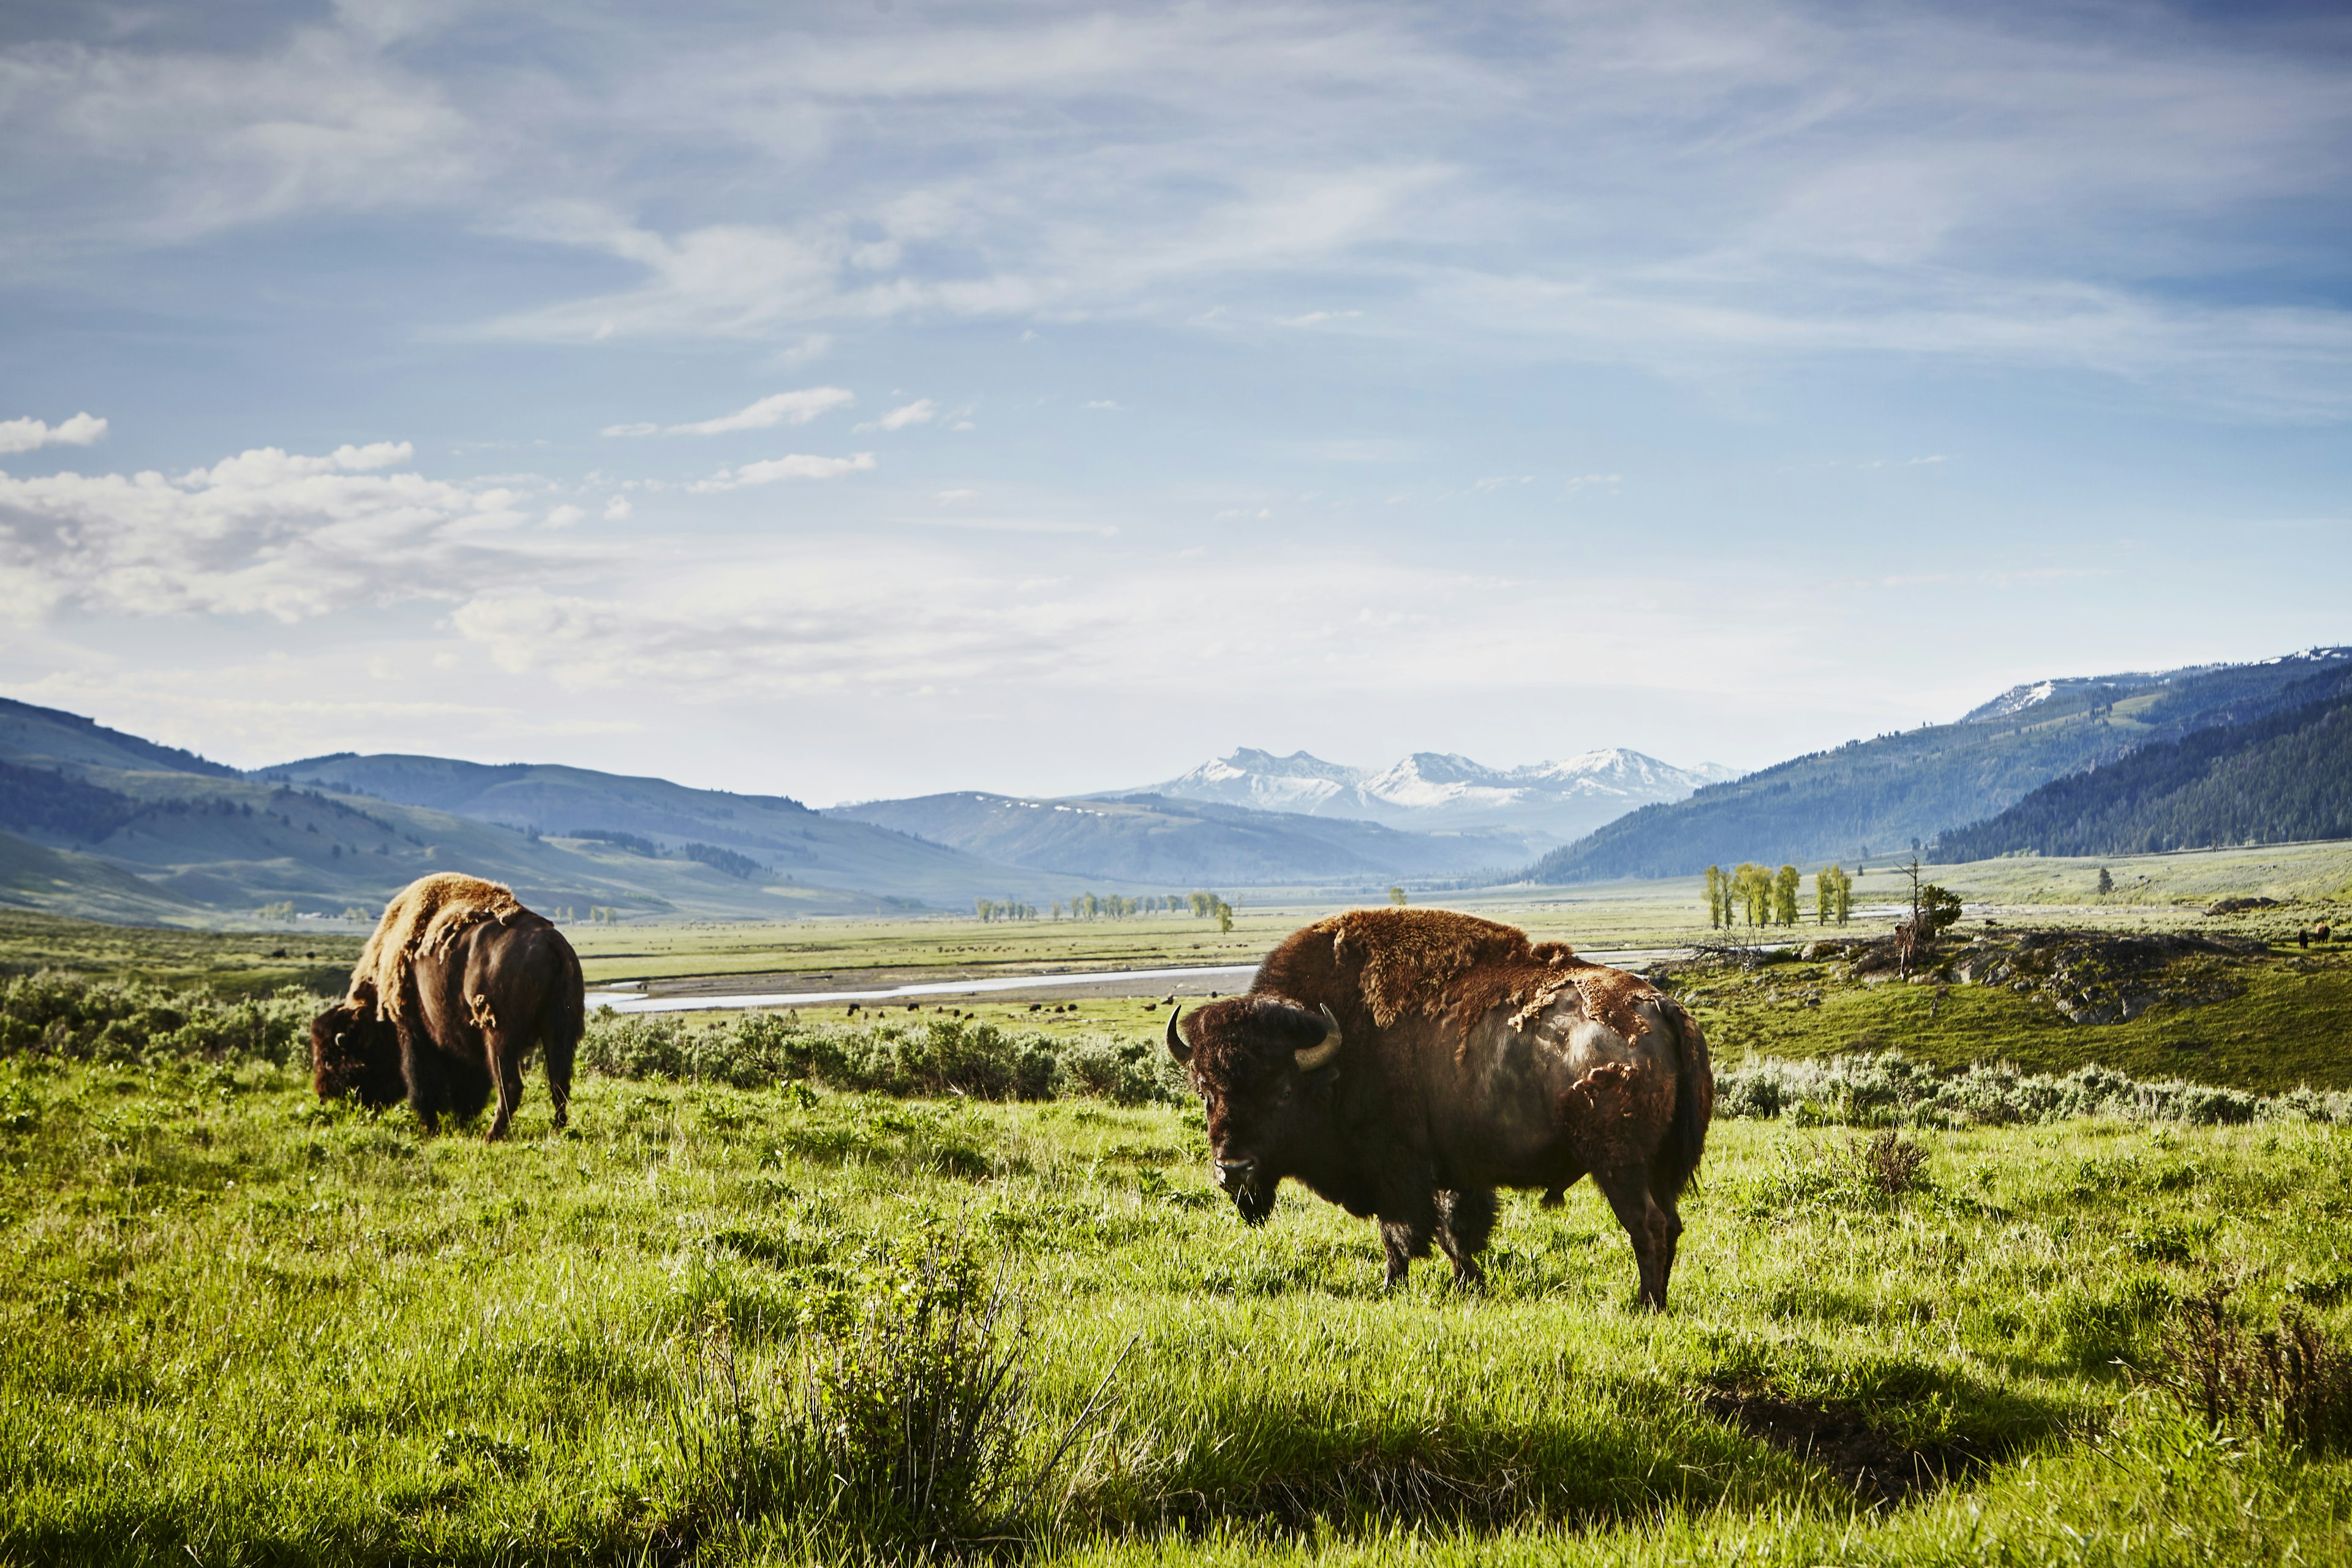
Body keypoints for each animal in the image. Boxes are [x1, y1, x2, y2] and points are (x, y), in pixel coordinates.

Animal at [310, 870, 586, 1142]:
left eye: (328, 1058)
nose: (324, 1096)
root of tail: (552, 945)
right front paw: (461, 1119)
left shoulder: (413, 1034)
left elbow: (423, 1086)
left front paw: (431, 1127)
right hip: (558, 1032)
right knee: (559, 1081)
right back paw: (558, 1129)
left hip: (499, 1037)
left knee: (510, 1086)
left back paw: (491, 1135)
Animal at [1171, 907, 1712, 1316]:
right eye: (1205, 1092)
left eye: (1282, 1090)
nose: (1233, 1169)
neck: (1336, 1050)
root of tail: (1660, 1006)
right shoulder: (1452, 1171)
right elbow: (1456, 1234)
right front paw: (1469, 1285)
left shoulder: (1396, 1170)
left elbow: (1402, 1235)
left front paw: (1391, 1288)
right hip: (1658, 1167)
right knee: (1671, 1223)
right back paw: (1658, 1301)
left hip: (1620, 1165)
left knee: (1647, 1225)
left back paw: (1644, 1306)